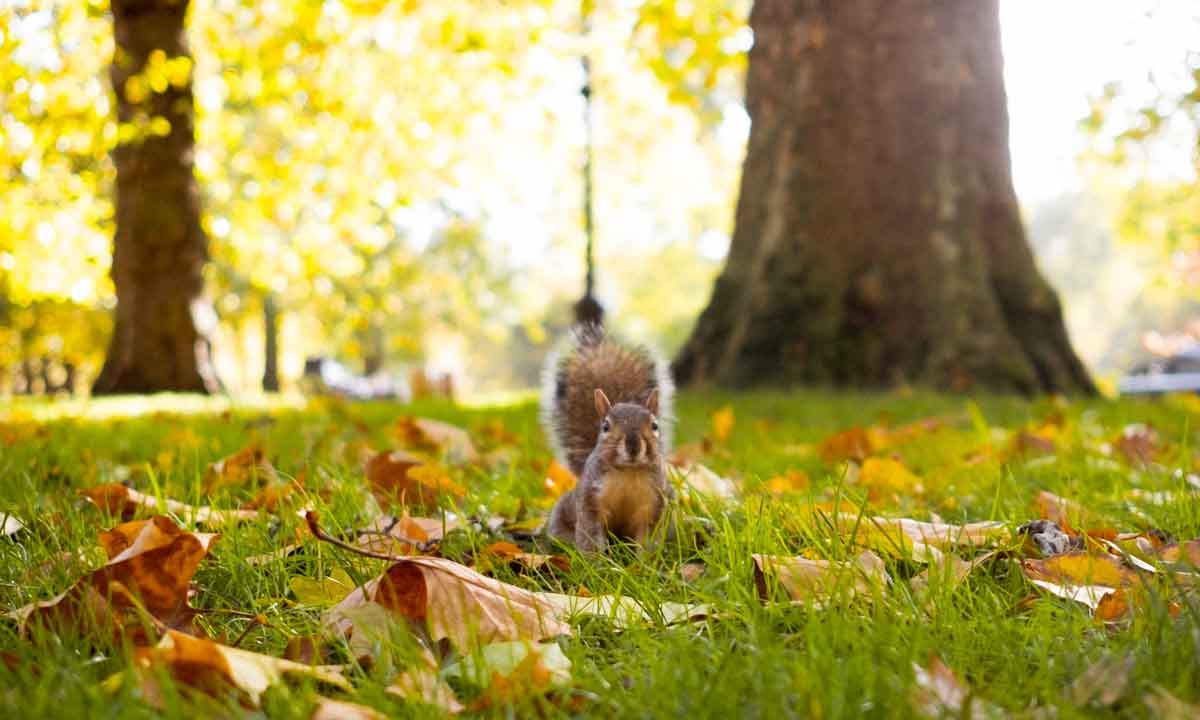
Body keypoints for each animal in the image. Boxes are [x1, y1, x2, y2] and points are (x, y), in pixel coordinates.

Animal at [544, 324, 676, 554]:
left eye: (655, 425)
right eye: (605, 426)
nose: (633, 446)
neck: (628, 473)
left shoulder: (655, 504)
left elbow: (648, 538)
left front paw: (646, 562)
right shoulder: (589, 501)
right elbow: (590, 534)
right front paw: (595, 560)